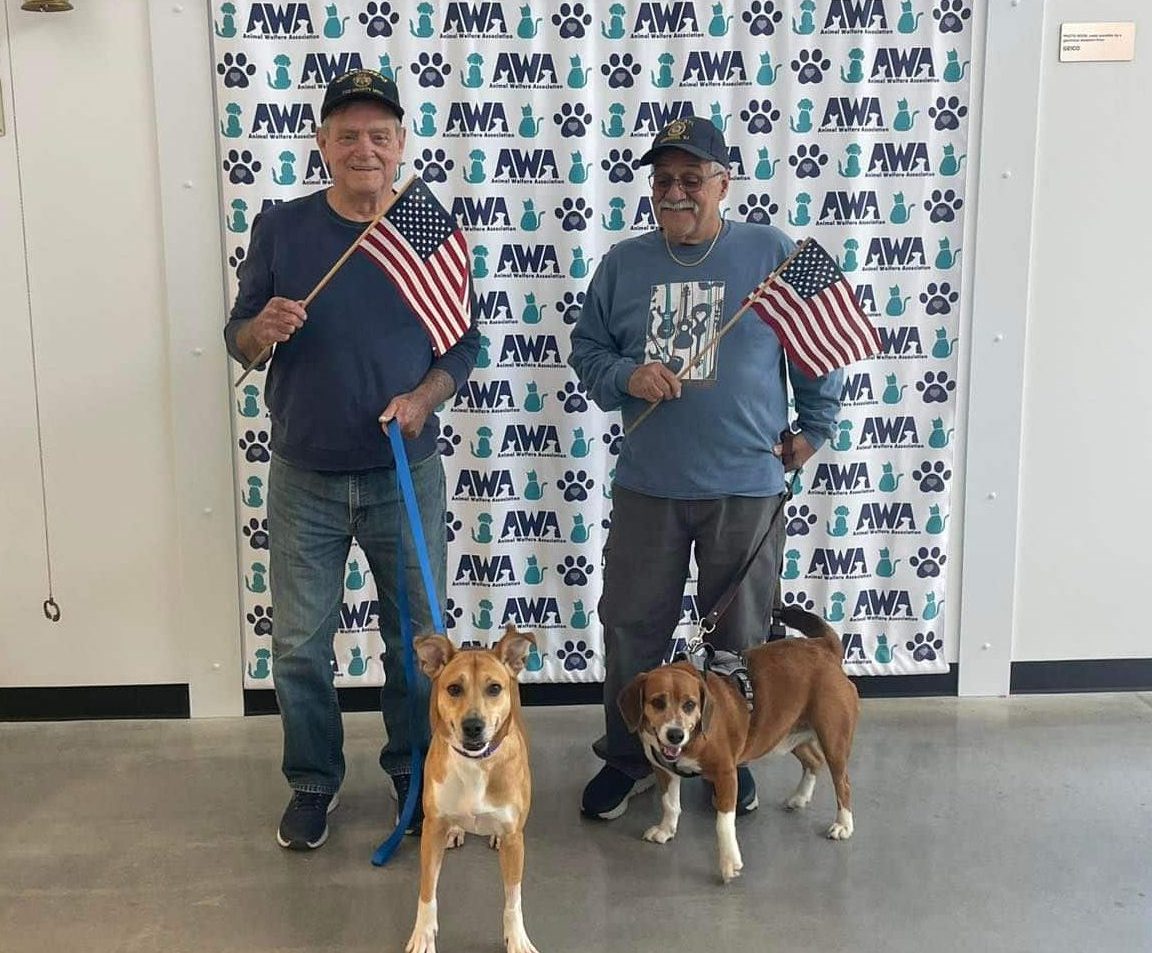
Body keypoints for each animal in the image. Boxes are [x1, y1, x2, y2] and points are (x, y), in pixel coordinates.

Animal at [405, 626, 539, 953]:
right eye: (454, 689)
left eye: (494, 688)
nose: (473, 726)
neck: (475, 763)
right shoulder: (431, 831)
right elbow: (427, 892)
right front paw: (423, 935)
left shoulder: (516, 839)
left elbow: (513, 899)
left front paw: (517, 938)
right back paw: (456, 829)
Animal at [622, 608, 857, 885]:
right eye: (657, 702)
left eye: (690, 705)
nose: (675, 735)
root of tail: (824, 647)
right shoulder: (664, 770)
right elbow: (670, 803)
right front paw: (666, 829)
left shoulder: (726, 774)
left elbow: (723, 823)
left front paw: (728, 863)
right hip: (783, 732)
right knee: (813, 761)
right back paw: (800, 797)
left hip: (834, 741)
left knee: (842, 783)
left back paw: (843, 824)